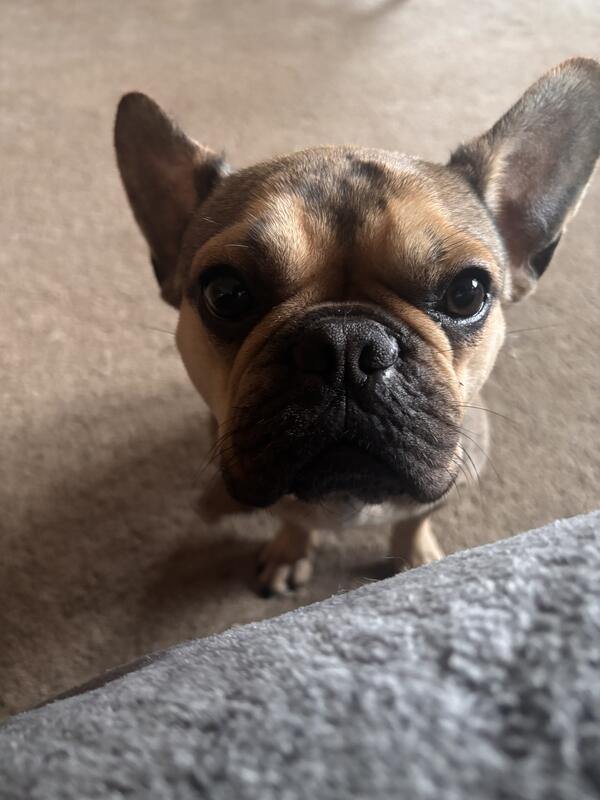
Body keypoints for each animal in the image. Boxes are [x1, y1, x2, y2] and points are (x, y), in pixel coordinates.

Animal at [114, 58, 600, 595]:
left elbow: (415, 519)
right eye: (226, 293)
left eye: (468, 292)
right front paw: (289, 551)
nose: (346, 344)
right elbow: (294, 519)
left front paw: (414, 557)